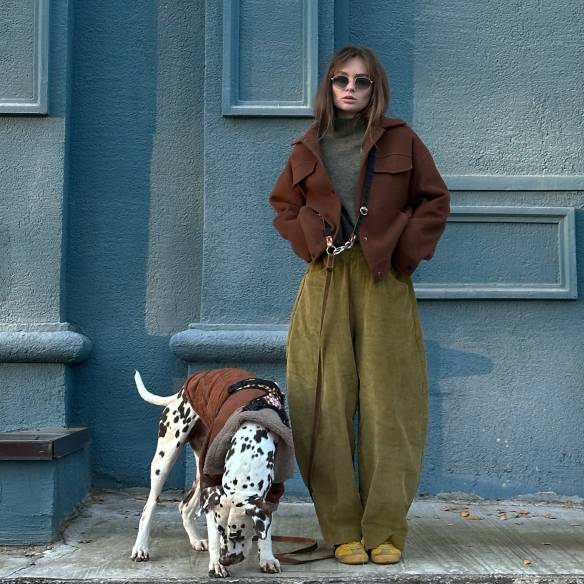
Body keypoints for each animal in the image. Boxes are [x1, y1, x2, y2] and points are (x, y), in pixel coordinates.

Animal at [130, 368, 294, 577]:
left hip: (200, 472)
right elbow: (215, 537)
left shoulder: (273, 493)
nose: (226, 560)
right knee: (149, 506)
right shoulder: (212, 493)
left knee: (184, 506)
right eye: (221, 530)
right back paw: (141, 547)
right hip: (165, 460)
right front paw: (216, 564)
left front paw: (267, 558)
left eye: (239, 534)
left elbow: (266, 530)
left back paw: (195, 540)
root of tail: (181, 392)